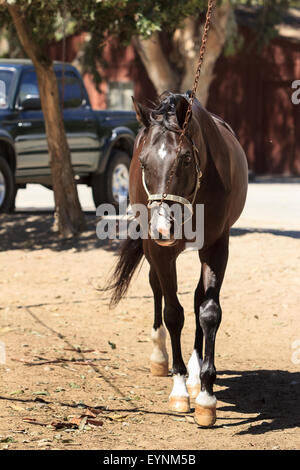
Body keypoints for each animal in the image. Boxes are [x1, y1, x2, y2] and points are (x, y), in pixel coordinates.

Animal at [106, 91, 247, 426]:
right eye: (143, 162)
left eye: (184, 158)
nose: (162, 226)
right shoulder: (159, 250)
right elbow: (173, 313)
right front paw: (180, 389)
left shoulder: (217, 246)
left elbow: (208, 311)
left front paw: (205, 394)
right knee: (156, 287)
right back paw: (160, 356)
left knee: (196, 298)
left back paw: (196, 373)